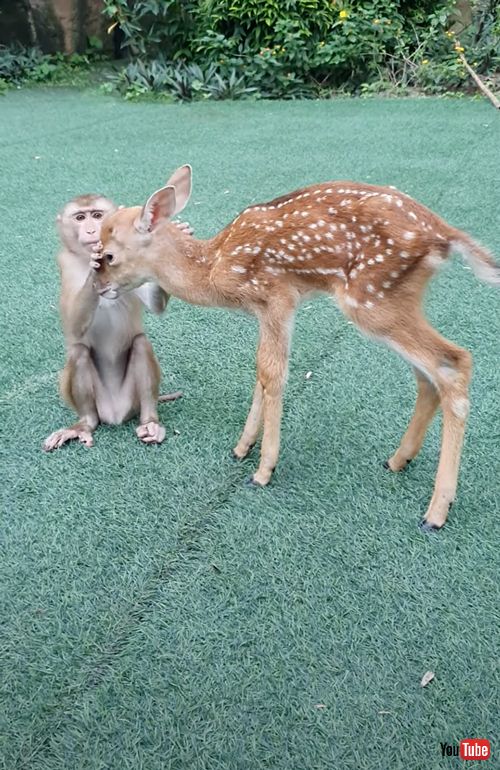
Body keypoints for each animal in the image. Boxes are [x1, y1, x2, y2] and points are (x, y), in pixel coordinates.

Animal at [93, 164, 499, 531]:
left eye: (109, 256)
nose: (97, 288)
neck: (215, 266)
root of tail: (445, 235)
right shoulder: (265, 309)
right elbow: (260, 371)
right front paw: (242, 448)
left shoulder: (277, 295)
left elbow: (272, 372)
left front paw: (263, 469)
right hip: (395, 301)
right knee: (427, 375)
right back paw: (398, 460)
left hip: (372, 298)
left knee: (454, 361)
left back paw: (437, 511)